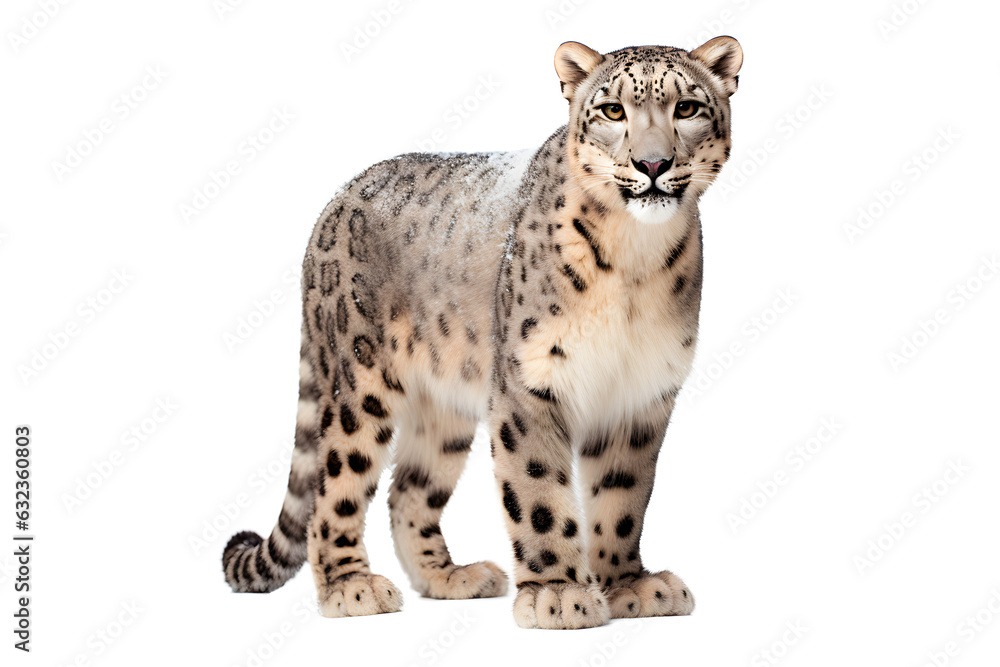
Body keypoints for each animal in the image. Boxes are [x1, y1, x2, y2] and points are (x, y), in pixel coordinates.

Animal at [222, 36, 743, 630]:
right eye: (613, 110)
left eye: (688, 108)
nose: (653, 163)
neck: (636, 261)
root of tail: (333, 203)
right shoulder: (530, 381)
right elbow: (539, 490)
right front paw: (558, 594)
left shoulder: (642, 393)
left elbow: (623, 497)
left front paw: (628, 584)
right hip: (358, 382)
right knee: (335, 484)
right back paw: (351, 587)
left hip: (443, 407)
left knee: (408, 491)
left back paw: (450, 577)